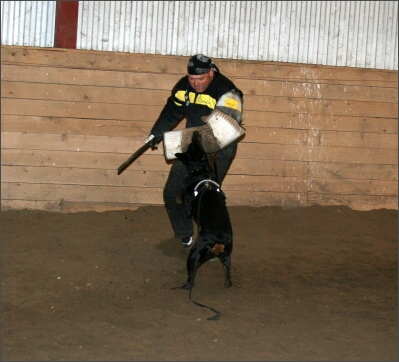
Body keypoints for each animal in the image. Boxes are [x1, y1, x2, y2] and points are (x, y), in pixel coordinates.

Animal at [176, 130, 234, 292]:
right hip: (227, 257)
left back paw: (183, 287)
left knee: (191, 279)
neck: (200, 170)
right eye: (197, 143)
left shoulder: (187, 205)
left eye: (191, 144)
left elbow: (183, 203)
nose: (196, 132)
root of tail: (218, 241)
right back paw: (227, 283)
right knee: (228, 274)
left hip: (194, 255)